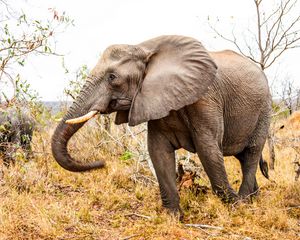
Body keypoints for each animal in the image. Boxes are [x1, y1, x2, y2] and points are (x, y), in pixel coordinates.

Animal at [51, 35, 272, 214]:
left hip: (264, 109)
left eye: (112, 77)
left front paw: (234, 206)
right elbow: (158, 150)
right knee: (243, 158)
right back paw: (253, 199)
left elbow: (208, 150)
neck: (144, 48)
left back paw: (244, 202)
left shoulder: (206, 98)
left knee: (251, 153)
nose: (102, 163)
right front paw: (173, 216)